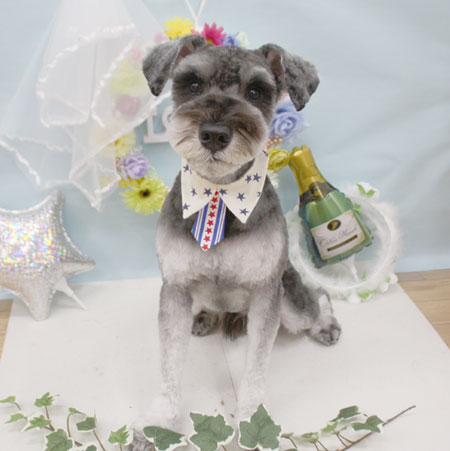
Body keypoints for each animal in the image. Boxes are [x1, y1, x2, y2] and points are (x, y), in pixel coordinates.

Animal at [131, 34, 341, 449]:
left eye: (256, 91)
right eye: (192, 83)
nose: (214, 134)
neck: (218, 194)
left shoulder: (265, 294)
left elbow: (256, 372)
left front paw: (252, 426)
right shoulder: (174, 289)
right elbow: (169, 365)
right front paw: (159, 424)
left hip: (289, 298)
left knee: (317, 298)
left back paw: (325, 324)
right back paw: (207, 316)